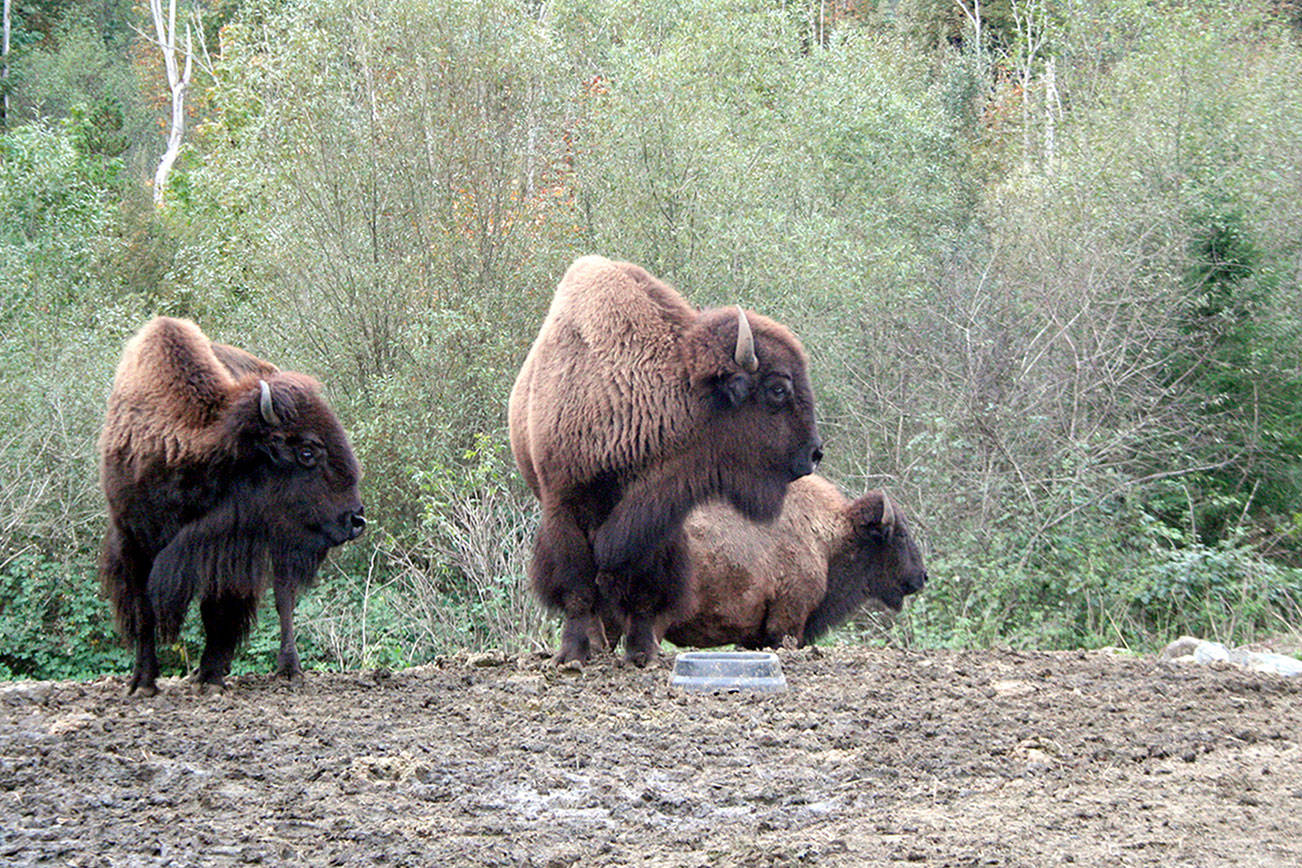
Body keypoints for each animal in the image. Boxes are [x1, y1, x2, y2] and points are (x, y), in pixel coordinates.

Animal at [98, 317, 365, 695]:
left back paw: (289, 669)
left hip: (280, 542)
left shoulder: (226, 547)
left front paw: (211, 677)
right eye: (307, 452)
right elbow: (143, 611)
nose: (355, 519)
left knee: (283, 599)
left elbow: (219, 610)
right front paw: (143, 683)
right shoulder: (130, 539)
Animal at [509, 256, 822, 665]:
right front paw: (572, 655)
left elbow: (647, 590)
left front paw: (643, 653)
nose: (815, 452)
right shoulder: (564, 505)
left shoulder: (659, 516)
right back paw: (593, 645)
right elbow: (576, 585)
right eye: (778, 389)